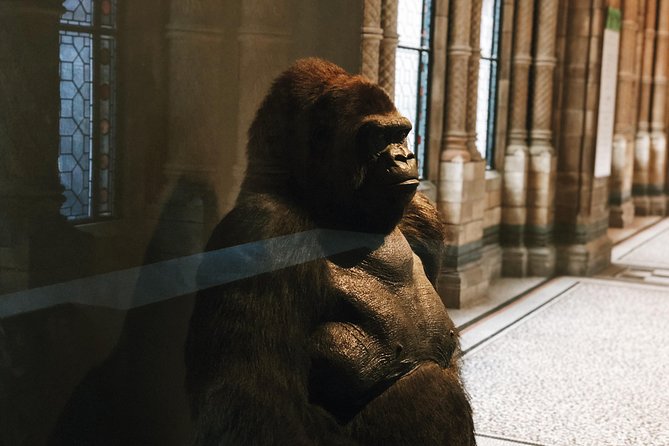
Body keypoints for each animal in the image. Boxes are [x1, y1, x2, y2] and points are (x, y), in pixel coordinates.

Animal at [184, 59, 474, 446]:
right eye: (378, 137)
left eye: (401, 134)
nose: (405, 156)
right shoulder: (262, 229)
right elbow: (256, 402)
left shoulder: (422, 214)